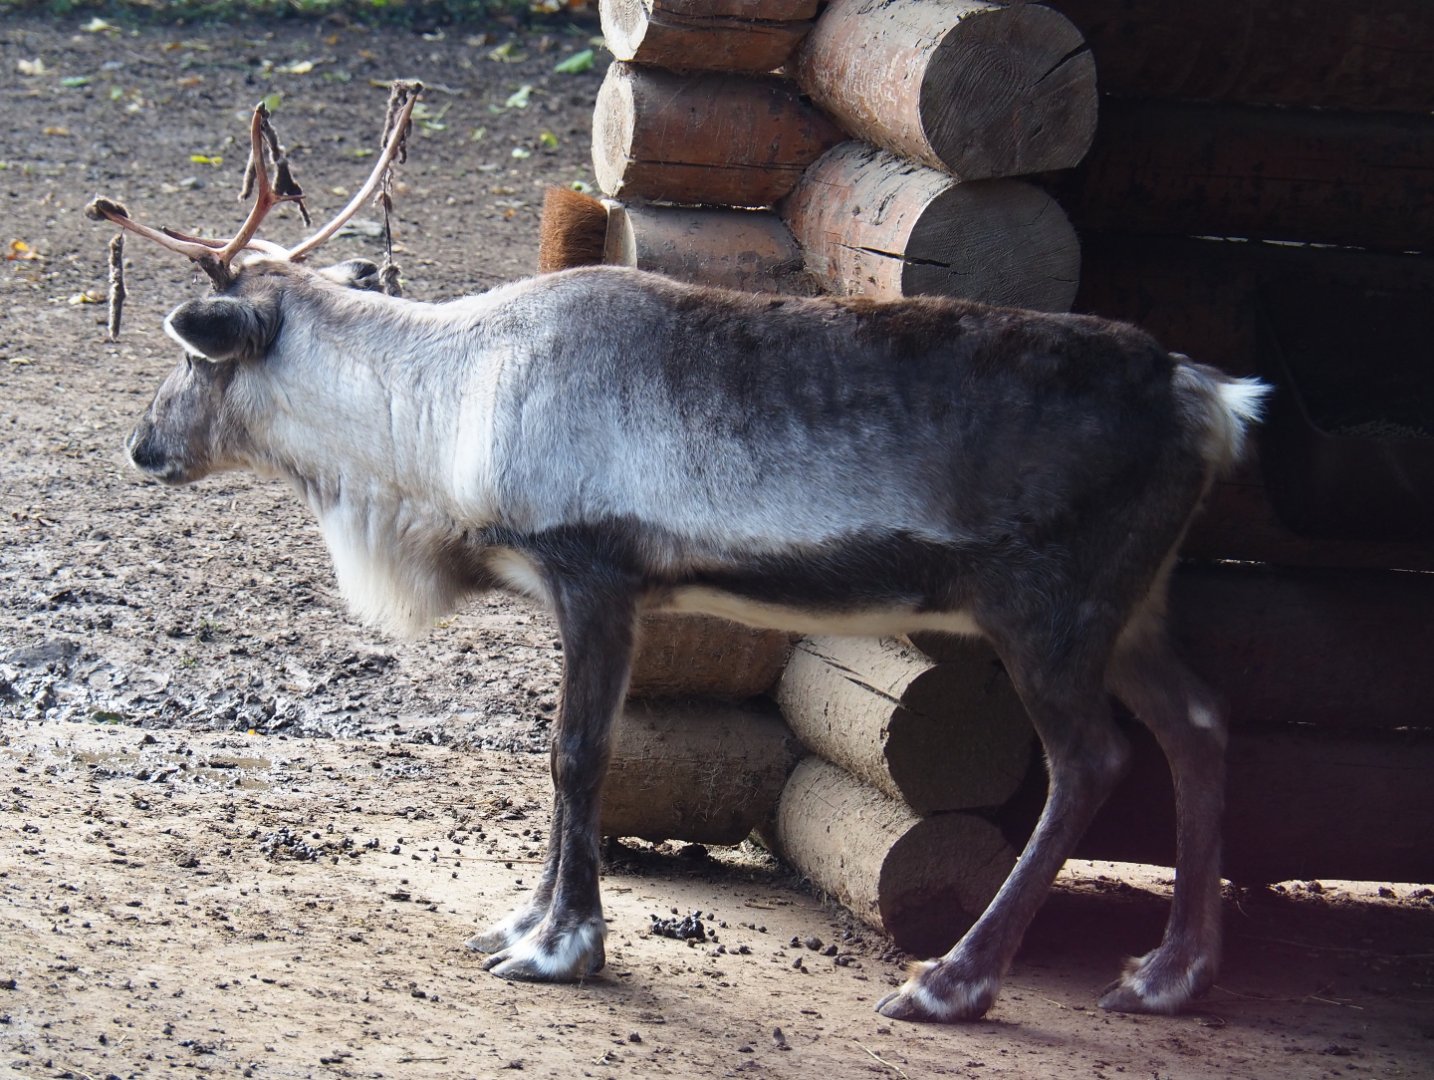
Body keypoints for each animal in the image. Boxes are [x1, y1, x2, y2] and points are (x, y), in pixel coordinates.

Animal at [88, 86, 1268, 1023]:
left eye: (191, 354)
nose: (142, 447)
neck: (441, 414)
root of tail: (1206, 397)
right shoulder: (593, 594)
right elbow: (561, 761)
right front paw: (522, 920)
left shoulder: (597, 575)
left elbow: (576, 756)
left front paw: (562, 947)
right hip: (1135, 605)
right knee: (1203, 724)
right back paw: (1171, 973)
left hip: (1050, 609)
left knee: (1095, 762)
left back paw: (953, 981)